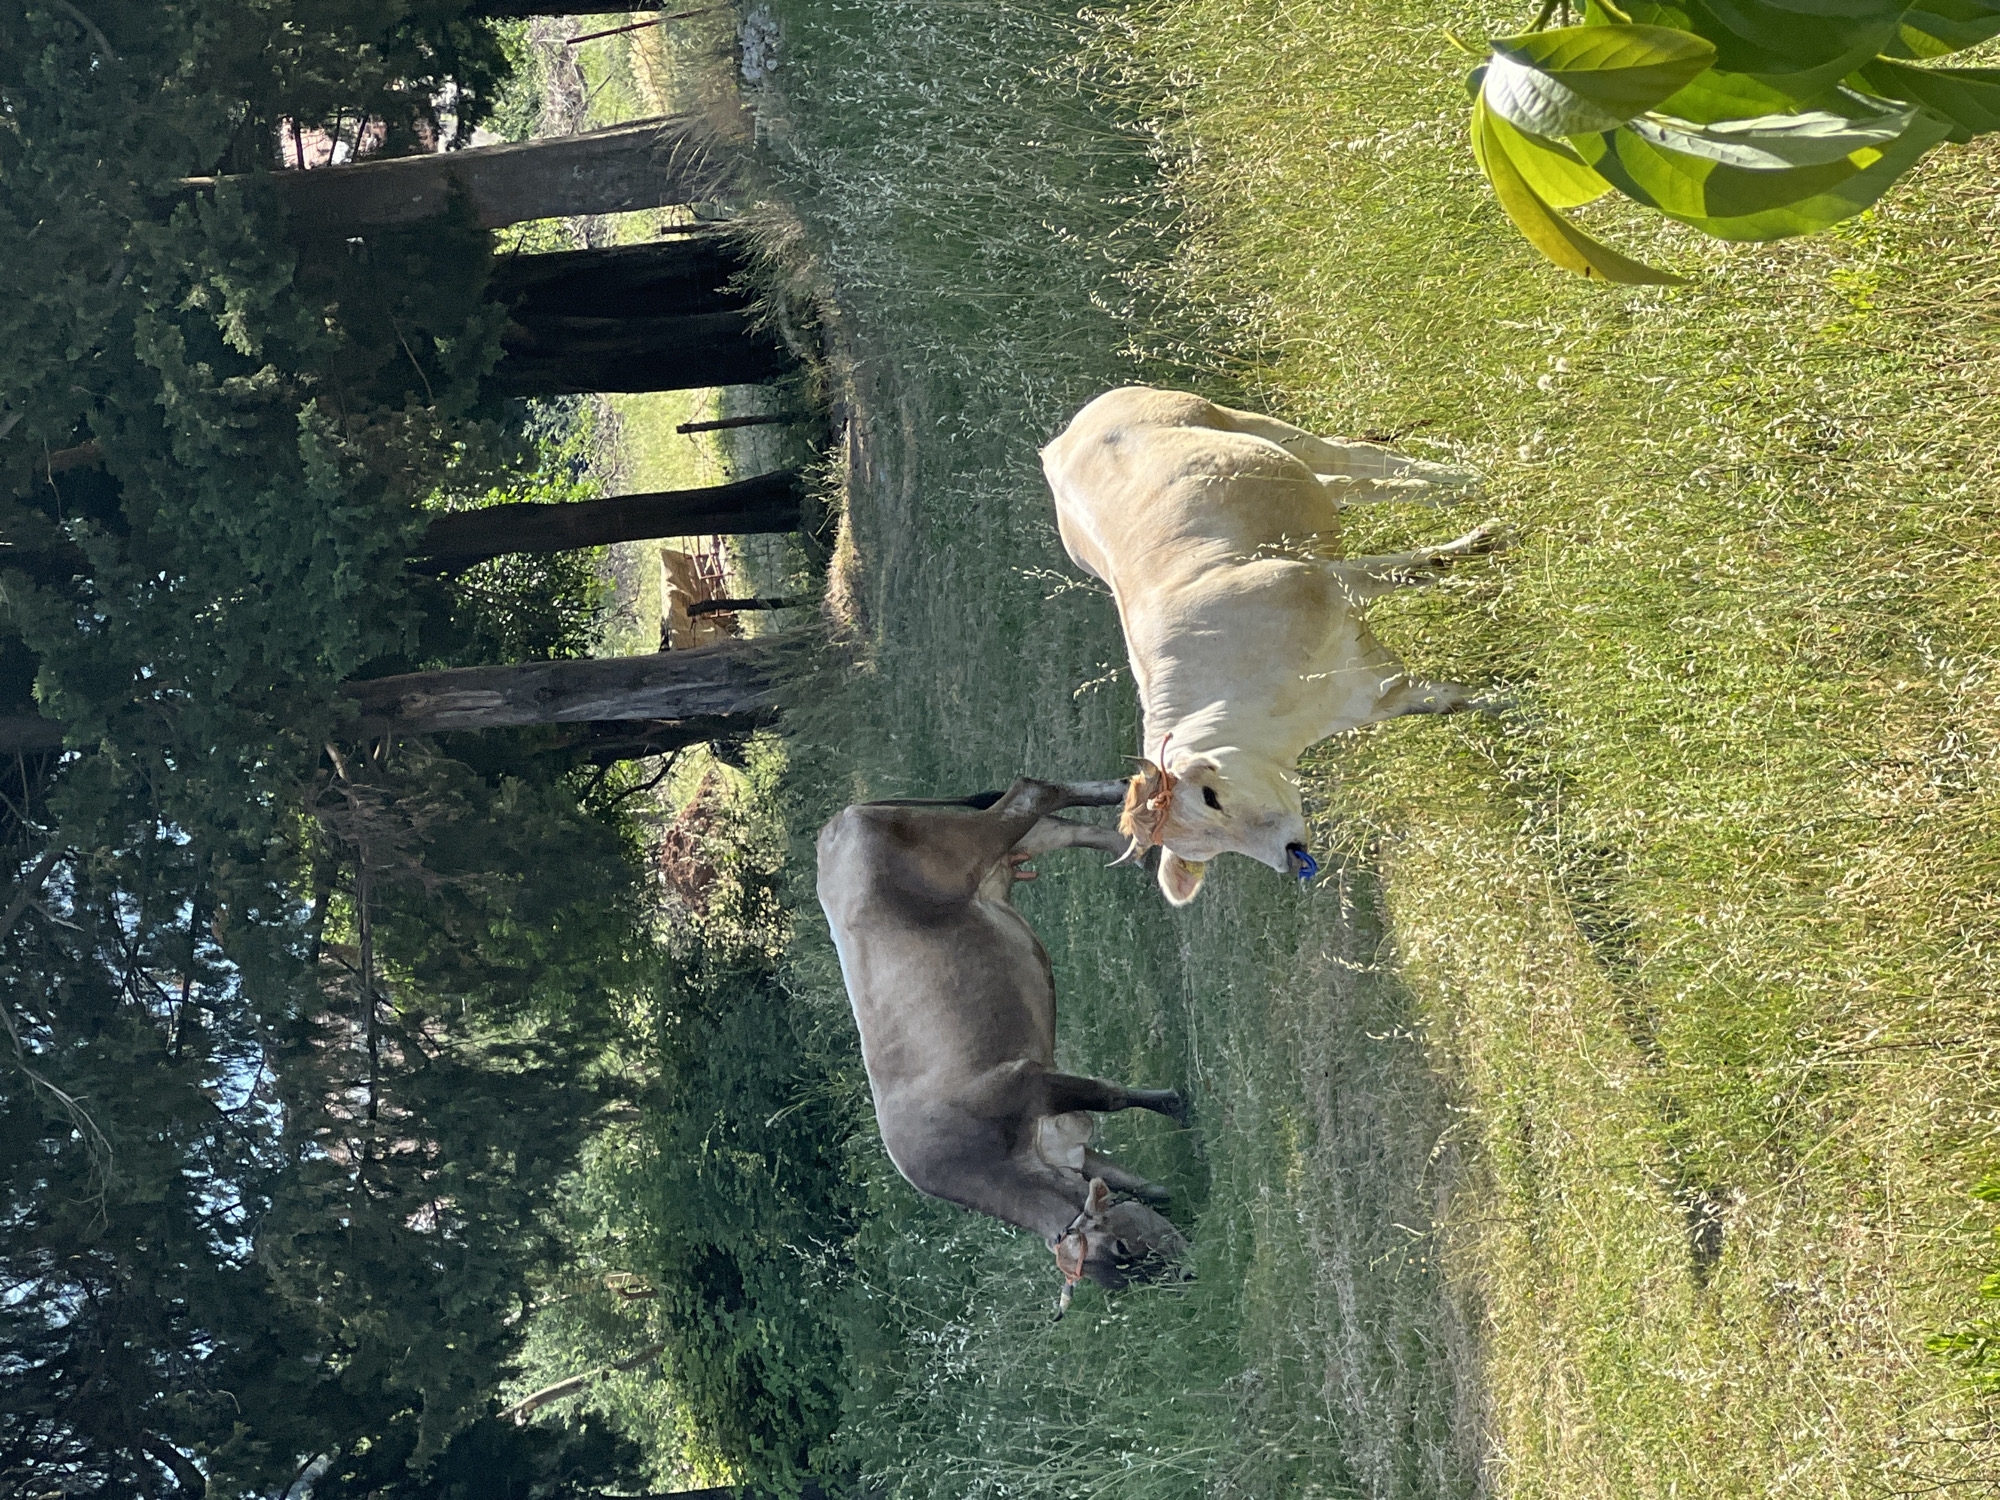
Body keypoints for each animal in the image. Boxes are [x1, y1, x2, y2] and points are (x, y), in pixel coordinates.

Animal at [816, 777, 1190, 1309]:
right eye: (1122, 1261)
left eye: (1123, 1247)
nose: (1186, 1274)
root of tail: (835, 825)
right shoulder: (1066, 1147)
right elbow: (1134, 1182)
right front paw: (1172, 1190)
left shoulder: (1030, 1082)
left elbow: (1112, 1095)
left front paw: (1178, 1105)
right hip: (1001, 853)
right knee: (1055, 825)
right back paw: (1133, 841)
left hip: (970, 842)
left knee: (1031, 792)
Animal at [1043, 386, 1505, 906]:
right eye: (1207, 850)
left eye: (1210, 797)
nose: (1289, 855)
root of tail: (1059, 443)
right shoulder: (1376, 695)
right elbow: (1461, 700)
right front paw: (1528, 709)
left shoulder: (1329, 580)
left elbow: (1414, 568)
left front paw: (1488, 537)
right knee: (1348, 480)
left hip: (1253, 426)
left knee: (1358, 465)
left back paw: (1467, 480)